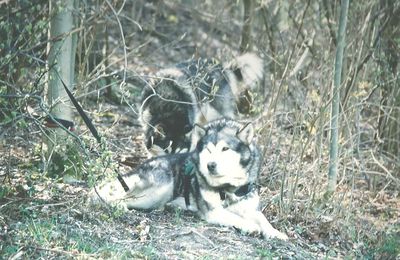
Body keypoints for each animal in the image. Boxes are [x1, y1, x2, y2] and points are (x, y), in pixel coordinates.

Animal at [92, 119, 288, 241]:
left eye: (225, 149)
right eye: (208, 150)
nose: (210, 165)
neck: (228, 187)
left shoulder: (250, 207)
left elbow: (262, 218)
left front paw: (275, 232)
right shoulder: (213, 211)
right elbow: (234, 217)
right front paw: (249, 226)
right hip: (159, 189)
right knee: (115, 197)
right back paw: (118, 205)